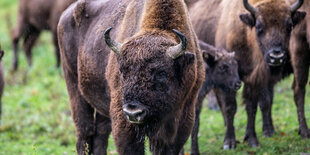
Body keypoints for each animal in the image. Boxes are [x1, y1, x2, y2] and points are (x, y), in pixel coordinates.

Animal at [58, 0, 205, 154]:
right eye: (122, 72)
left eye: (162, 72)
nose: (133, 112)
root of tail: (65, 14)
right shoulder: (123, 120)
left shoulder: (183, 119)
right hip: (73, 84)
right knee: (84, 132)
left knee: (100, 134)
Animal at [189, 0, 306, 150]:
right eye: (259, 26)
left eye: (289, 26)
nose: (276, 56)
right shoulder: (228, 80)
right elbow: (230, 107)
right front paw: (229, 142)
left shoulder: (254, 79)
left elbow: (252, 107)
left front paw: (252, 140)